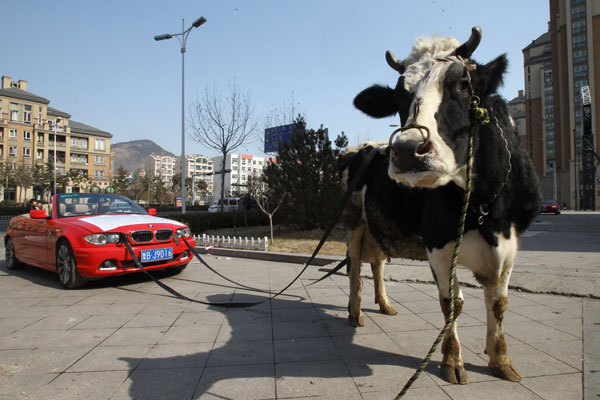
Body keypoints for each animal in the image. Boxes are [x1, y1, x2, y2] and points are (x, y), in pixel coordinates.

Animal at [340, 27, 540, 384]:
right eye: (398, 97)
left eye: (462, 84)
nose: (408, 151)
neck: (485, 206)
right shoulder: (437, 243)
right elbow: (452, 304)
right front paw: (452, 361)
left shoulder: (511, 244)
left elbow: (499, 303)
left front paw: (501, 360)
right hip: (354, 223)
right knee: (354, 267)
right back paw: (355, 312)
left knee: (377, 263)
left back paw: (384, 304)